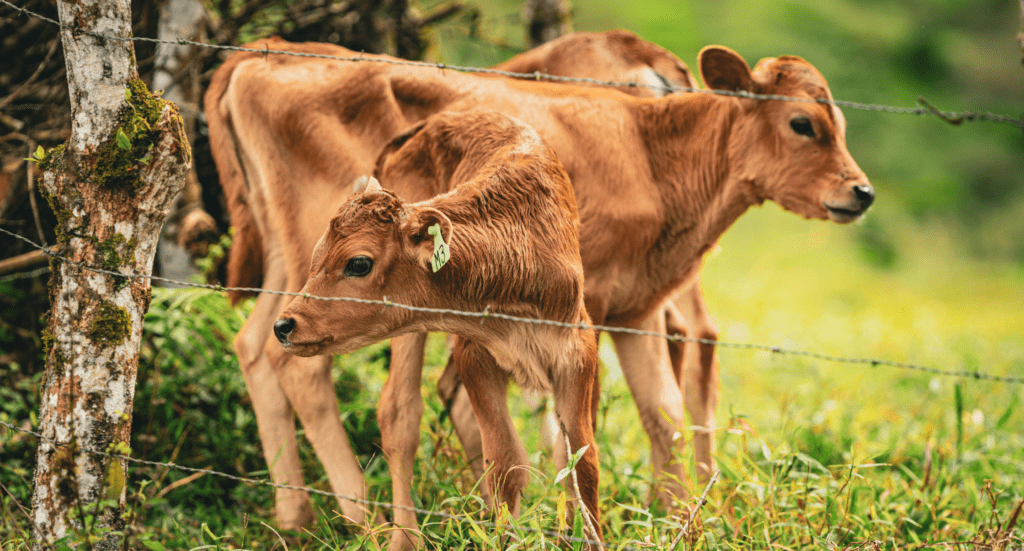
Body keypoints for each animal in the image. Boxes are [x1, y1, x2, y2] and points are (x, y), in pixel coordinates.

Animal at [272, 110, 602, 543]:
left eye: (358, 263)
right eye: (316, 257)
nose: (284, 325)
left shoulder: (577, 350)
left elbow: (582, 459)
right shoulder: (474, 353)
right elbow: (507, 462)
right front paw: (504, 538)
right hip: (409, 332)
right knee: (400, 412)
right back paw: (404, 538)